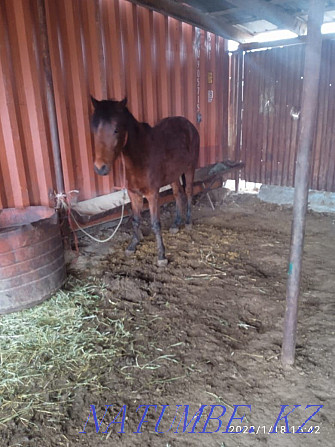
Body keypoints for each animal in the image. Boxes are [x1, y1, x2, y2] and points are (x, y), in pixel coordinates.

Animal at [90, 97, 200, 266]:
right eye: (94, 129)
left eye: (116, 130)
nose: (100, 168)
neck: (140, 155)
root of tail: (189, 125)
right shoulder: (133, 194)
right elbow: (136, 220)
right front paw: (132, 246)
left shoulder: (152, 194)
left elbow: (155, 223)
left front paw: (161, 256)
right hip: (174, 175)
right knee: (178, 194)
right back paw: (176, 224)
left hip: (189, 168)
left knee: (188, 192)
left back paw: (187, 222)